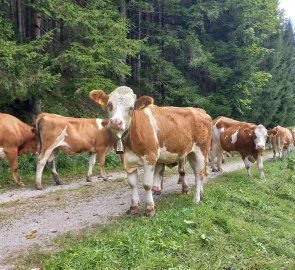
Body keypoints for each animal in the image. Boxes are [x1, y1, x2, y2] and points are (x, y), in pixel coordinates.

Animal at [90, 85, 213, 216]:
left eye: (131, 108)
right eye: (109, 104)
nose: (116, 122)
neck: (129, 143)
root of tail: (201, 111)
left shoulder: (150, 157)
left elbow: (147, 184)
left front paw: (150, 209)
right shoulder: (127, 160)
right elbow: (132, 184)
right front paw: (134, 206)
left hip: (202, 150)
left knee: (199, 174)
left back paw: (196, 199)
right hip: (190, 153)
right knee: (197, 172)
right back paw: (201, 194)